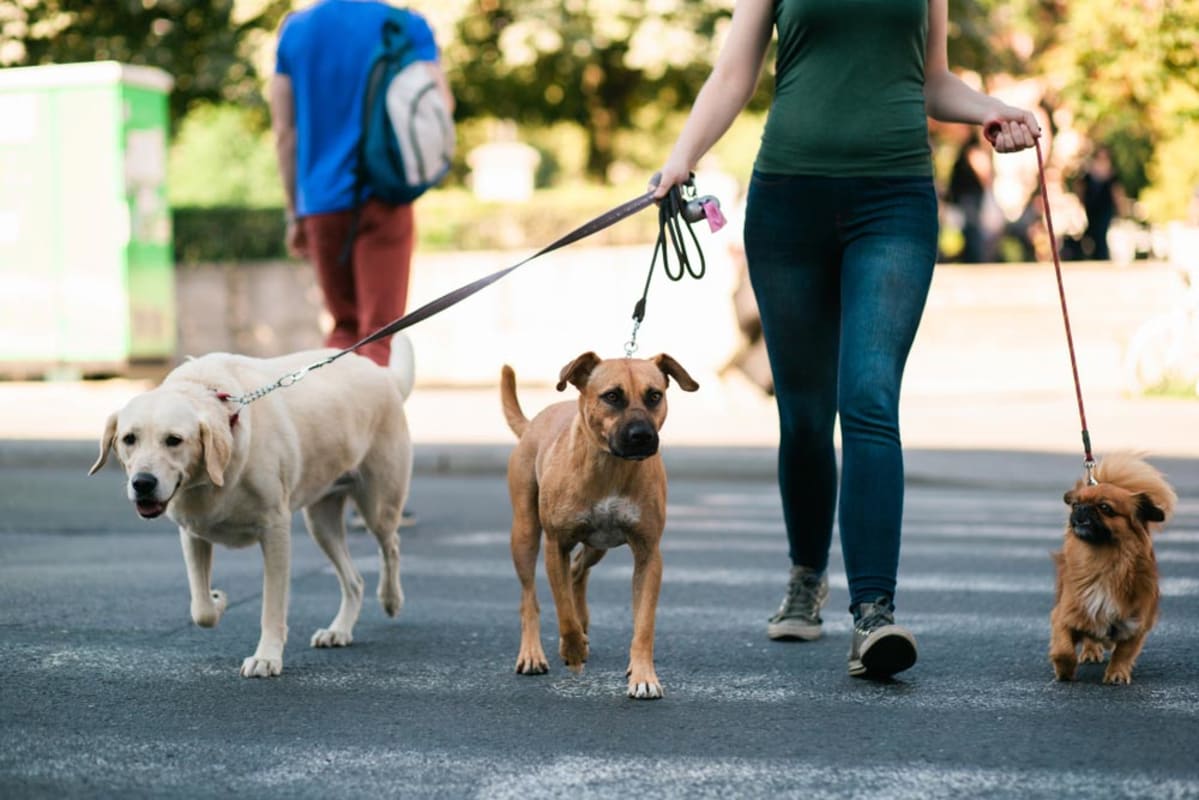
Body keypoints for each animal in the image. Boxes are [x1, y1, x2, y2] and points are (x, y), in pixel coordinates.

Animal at [89, 347, 417, 676]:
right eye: (129, 439)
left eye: (174, 440)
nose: (143, 483)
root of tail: (380, 372)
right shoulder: (192, 534)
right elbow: (200, 609)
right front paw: (218, 600)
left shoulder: (275, 532)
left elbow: (271, 605)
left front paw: (267, 657)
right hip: (321, 523)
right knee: (354, 581)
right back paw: (339, 630)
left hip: (378, 504)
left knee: (391, 546)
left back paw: (391, 599)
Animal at [498, 352, 700, 695]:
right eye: (612, 396)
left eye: (654, 396)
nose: (642, 436)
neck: (611, 467)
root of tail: (533, 423)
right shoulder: (556, 545)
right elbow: (563, 610)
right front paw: (573, 649)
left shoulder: (648, 553)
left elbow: (644, 623)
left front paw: (643, 675)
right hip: (525, 534)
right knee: (530, 598)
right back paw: (533, 653)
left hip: (597, 545)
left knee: (577, 571)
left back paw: (583, 623)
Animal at [1055, 453, 1175, 686]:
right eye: (1076, 505)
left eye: (1104, 507)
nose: (1081, 509)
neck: (1103, 562)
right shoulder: (1065, 614)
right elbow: (1062, 648)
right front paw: (1064, 672)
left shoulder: (1136, 623)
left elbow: (1124, 652)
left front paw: (1117, 674)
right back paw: (1090, 651)